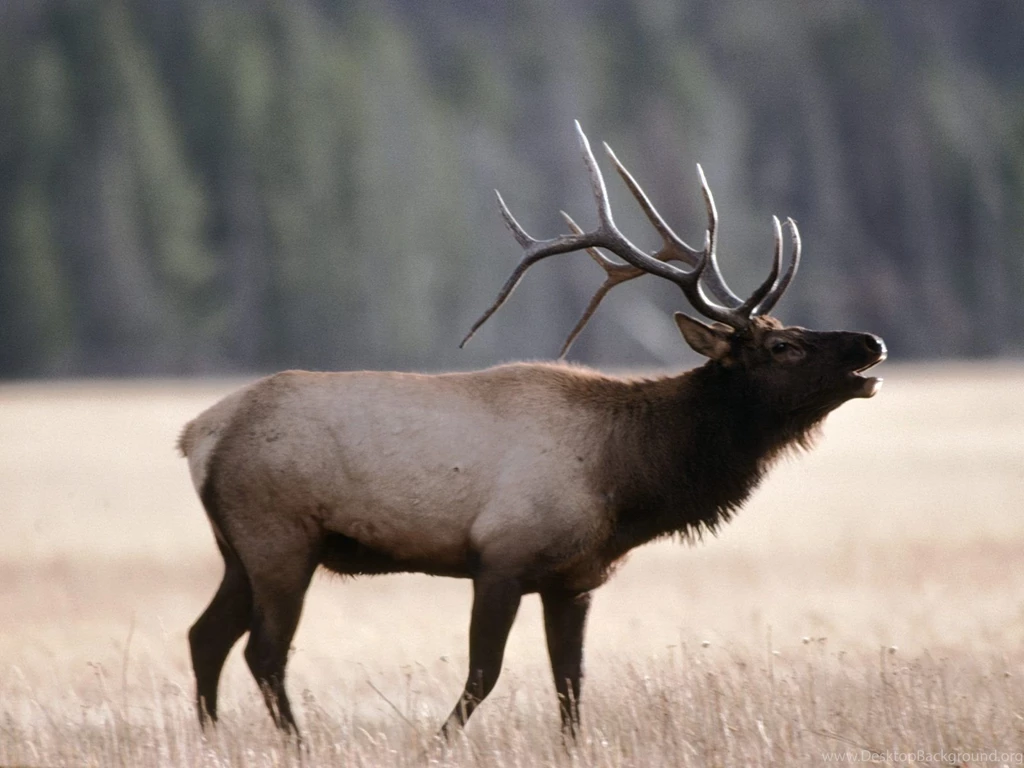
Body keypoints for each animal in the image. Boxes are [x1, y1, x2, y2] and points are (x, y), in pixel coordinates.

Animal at [179, 122, 886, 741]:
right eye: (784, 347)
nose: (871, 343)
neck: (625, 480)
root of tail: (199, 435)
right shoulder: (501, 557)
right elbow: (482, 676)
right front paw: (435, 745)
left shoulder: (574, 579)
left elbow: (570, 686)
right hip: (280, 539)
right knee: (263, 653)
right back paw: (295, 745)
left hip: (238, 549)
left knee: (205, 636)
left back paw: (212, 739)